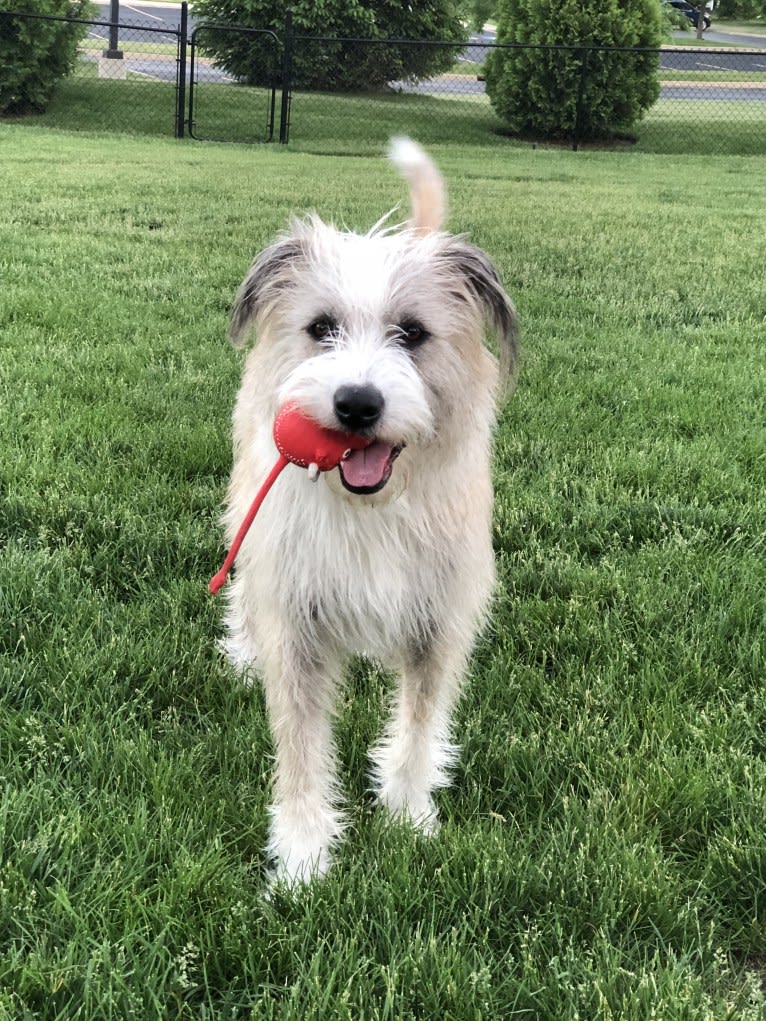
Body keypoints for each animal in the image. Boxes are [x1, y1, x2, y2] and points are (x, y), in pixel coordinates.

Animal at [218, 139, 518, 882]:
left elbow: (418, 726)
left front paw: (408, 817)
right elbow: (301, 748)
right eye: (321, 328)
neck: (371, 510)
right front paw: (303, 858)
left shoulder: (437, 624)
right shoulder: (296, 623)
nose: (356, 403)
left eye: (411, 333)